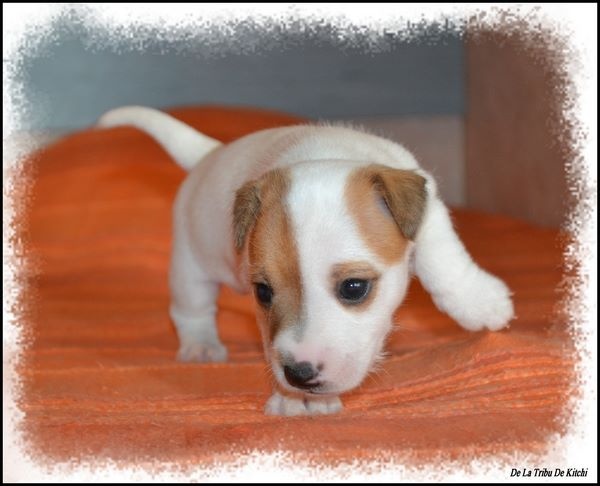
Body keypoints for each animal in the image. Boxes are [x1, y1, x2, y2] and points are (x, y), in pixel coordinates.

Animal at [97, 106, 514, 416]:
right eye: (263, 292)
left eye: (354, 288)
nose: (299, 375)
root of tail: (210, 154)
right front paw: (294, 399)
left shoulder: (430, 212)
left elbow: (443, 258)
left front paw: (480, 302)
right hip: (190, 267)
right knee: (191, 311)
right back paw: (200, 346)